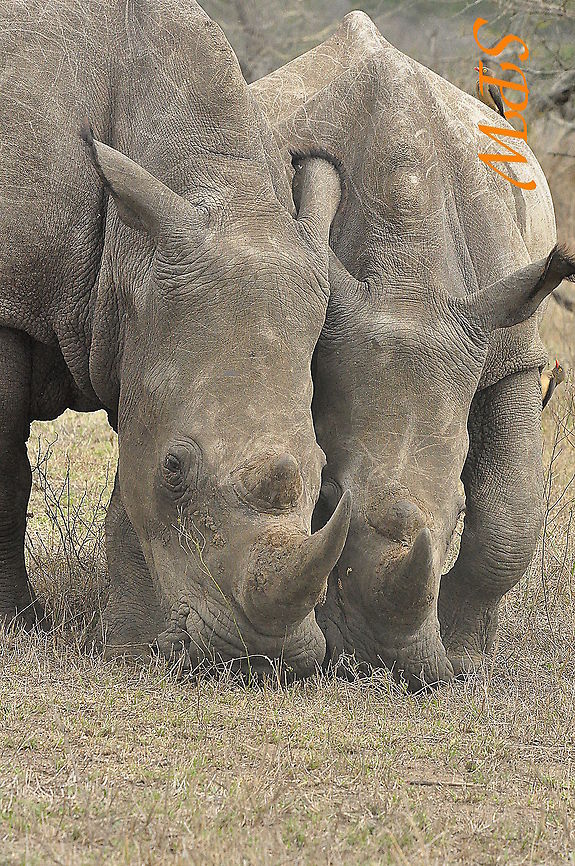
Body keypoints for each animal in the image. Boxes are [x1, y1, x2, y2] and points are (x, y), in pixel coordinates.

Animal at [0, 0, 353, 677]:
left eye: (325, 471)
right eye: (175, 469)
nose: (257, 657)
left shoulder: (140, 327)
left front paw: (128, 644)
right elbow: (6, 473)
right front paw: (16, 623)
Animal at [252, 12, 575, 686]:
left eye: (455, 509)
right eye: (326, 496)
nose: (381, 662)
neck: (406, 282)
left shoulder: (507, 349)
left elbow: (511, 514)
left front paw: (467, 650)